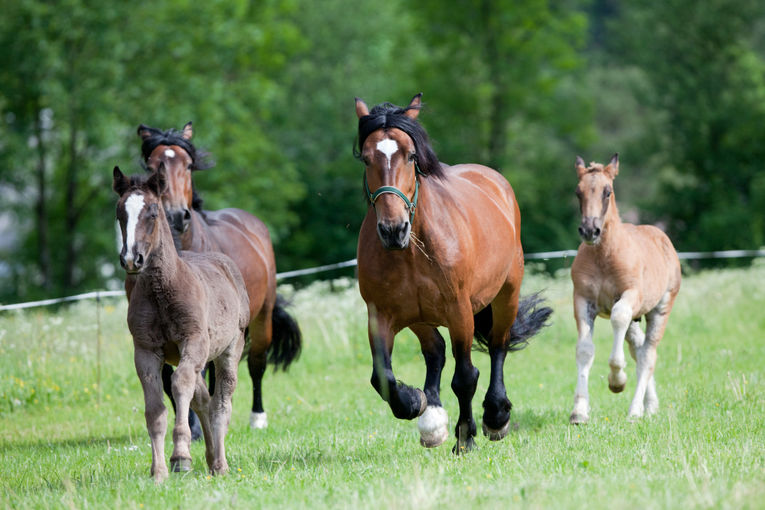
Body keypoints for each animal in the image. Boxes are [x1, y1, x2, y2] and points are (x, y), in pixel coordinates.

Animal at [112, 167, 249, 482]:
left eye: (152, 212)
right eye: (119, 213)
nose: (131, 259)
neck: (163, 290)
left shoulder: (194, 340)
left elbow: (180, 384)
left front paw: (181, 457)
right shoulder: (146, 351)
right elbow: (155, 409)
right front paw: (159, 470)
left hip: (229, 349)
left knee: (220, 403)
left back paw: (220, 464)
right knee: (203, 399)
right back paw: (210, 459)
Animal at [137, 121, 302, 432]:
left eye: (188, 165)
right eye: (152, 166)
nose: (176, 215)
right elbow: (168, 377)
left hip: (261, 317)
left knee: (255, 364)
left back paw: (256, 417)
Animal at [356, 93, 552, 452]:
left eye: (411, 156)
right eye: (366, 159)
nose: (393, 230)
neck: (412, 250)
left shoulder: (459, 311)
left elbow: (465, 378)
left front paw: (466, 437)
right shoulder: (380, 315)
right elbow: (383, 378)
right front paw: (415, 402)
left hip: (506, 296)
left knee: (498, 346)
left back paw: (496, 415)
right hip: (419, 315)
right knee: (435, 350)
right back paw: (432, 420)